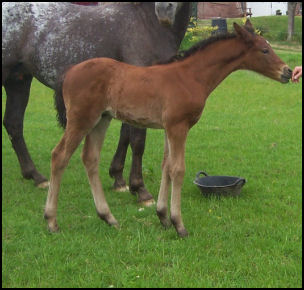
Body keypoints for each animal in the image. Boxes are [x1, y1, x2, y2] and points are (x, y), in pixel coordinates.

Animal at [44, 21, 290, 238]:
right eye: (264, 50)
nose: (287, 72)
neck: (190, 77)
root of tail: (69, 71)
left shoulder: (168, 128)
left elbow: (166, 166)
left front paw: (162, 216)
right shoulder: (178, 126)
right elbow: (178, 170)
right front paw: (179, 224)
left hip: (101, 120)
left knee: (90, 158)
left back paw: (108, 217)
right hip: (81, 119)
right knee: (59, 155)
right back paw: (52, 221)